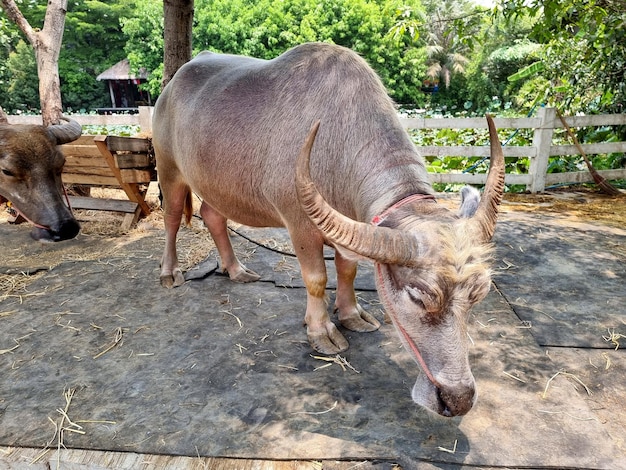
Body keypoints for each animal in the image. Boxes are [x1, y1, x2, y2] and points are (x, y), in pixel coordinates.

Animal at [154, 41, 504, 414]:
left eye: (479, 295)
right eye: (418, 297)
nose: (457, 399)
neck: (336, 144)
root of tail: (171, 87)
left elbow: (347, 271)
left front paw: (351, 315)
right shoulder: (299, 224)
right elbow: (317, 279)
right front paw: (320, 330)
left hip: (217, 184)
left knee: (213, 214)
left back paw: (236, 269)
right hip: (168, 168)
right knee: (172, 217)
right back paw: (170, 272)